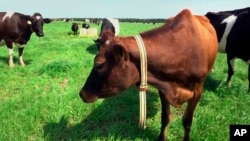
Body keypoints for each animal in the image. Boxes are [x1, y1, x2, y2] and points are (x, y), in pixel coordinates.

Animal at [79, 9, 218, 140]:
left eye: (99, 65)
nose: (81, 93)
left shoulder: (198, 91)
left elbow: (187, 121)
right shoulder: (163, 89)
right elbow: (165, 117)